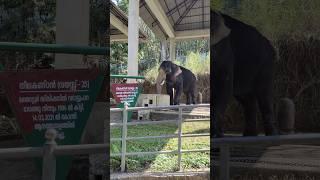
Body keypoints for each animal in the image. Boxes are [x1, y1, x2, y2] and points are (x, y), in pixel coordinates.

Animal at [210, 10, 278, 138]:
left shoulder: (224, 48)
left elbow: (223, 86)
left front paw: (216, 135)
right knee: (246, 99)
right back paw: (249, 135)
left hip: (267, 64)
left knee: (264, 96)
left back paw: (272, 135)